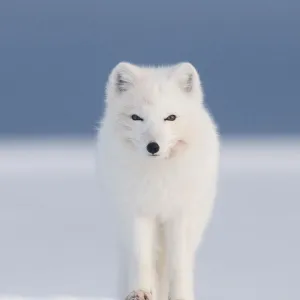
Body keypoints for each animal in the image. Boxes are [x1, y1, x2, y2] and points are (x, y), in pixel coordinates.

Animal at [97, 61, 219, 300]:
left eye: (170, 117)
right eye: (136, 117)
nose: (153, 147)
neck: (158, 177)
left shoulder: (179, 215)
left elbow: (178, 265)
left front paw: (181, 296)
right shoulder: (137, 212)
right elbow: (141, 258)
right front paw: (140, 292)